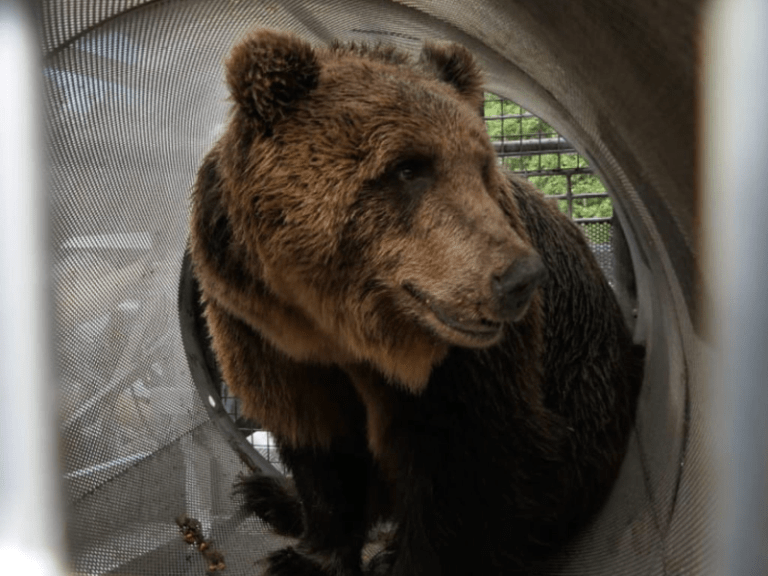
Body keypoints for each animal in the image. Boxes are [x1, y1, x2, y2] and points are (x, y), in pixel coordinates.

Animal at [189, 28, 644, 576]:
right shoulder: (266, 331)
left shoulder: (462, 370)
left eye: (483, 165)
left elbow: (466, 478)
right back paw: (269, 493)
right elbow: (320, 448)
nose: (520, 277)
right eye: (407, 168)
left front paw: (396, 560)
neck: (337, 326)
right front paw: (309, 554)